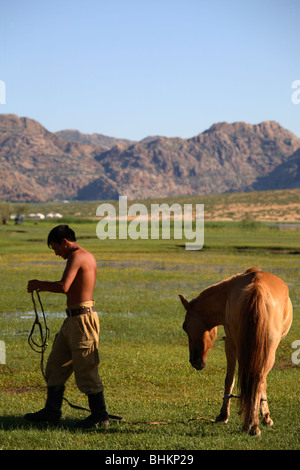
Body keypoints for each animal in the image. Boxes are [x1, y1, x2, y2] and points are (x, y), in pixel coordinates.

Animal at [179, 266, 292, 436]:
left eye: (185, 326)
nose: (194, 361)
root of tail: (256, 288)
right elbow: (258, 382)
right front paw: (265, 417)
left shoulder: (231, 343)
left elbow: (231, 379)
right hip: (264, 349)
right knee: (257, 379)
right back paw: (252, 425)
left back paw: (249, 424)